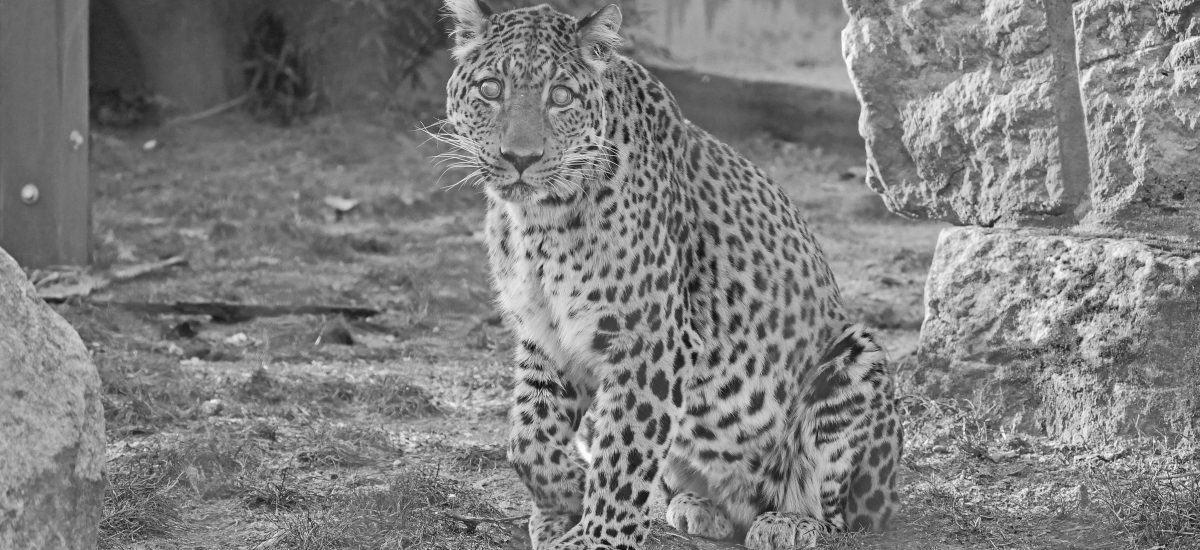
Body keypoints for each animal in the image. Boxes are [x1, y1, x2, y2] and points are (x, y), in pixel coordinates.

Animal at [434, 1, 902, 549]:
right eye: (491, 89)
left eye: (561, 96)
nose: (520, 159)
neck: (539, 220)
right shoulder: (544, 333)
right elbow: (527, 437)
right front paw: (563, 500)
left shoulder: (650, 339)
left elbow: (623, 454)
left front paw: (597, 536)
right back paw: (699, 508)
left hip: (858, 357)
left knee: (848, 521)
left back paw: (789, 523)